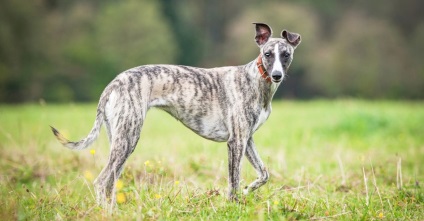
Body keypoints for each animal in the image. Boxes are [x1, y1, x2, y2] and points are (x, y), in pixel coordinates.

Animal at [50, 23, 302, 206]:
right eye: (267, 54)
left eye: (286, 55)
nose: (277, 76)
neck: (256, 80)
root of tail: (113, 83)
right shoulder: (236, 142)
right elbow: (233, 182)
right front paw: (234, 205)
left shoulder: (247, 139)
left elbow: (264, 173)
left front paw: (249, 190)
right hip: (128, 138)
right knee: (102, 182)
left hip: (119, 140)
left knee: (111, 182)